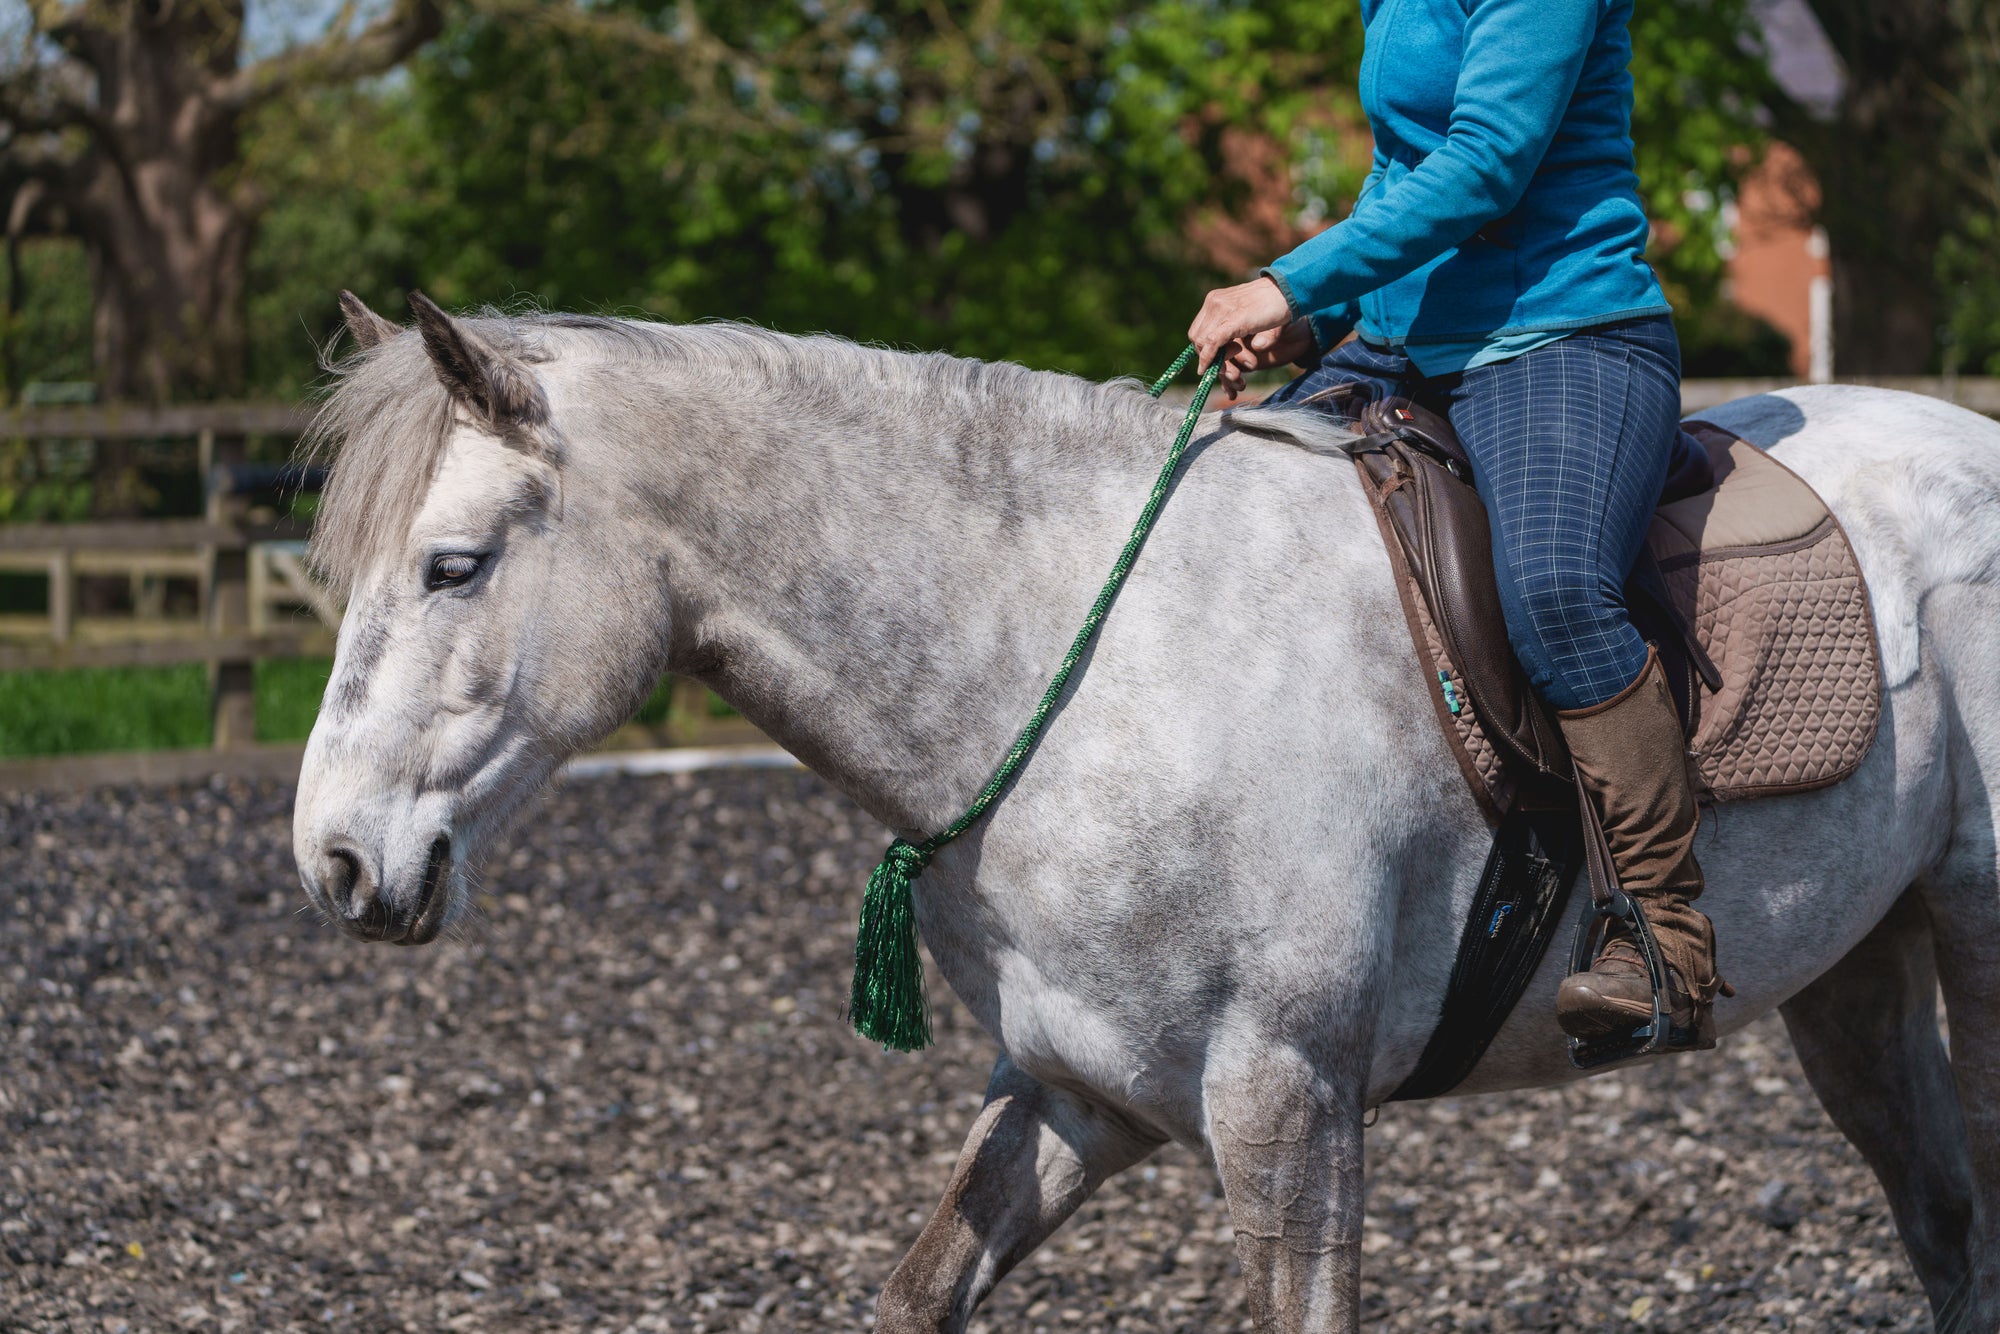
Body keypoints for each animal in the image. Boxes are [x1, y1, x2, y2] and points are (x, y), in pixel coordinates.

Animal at [292, 294, 2000, 1334]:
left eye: (453, 565)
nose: (336, 860)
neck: (1085, 662)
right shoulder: (1074, 1086)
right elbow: (925, 1282)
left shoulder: (1286, 1101)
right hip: (1851, 975)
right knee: (1946, 1219)